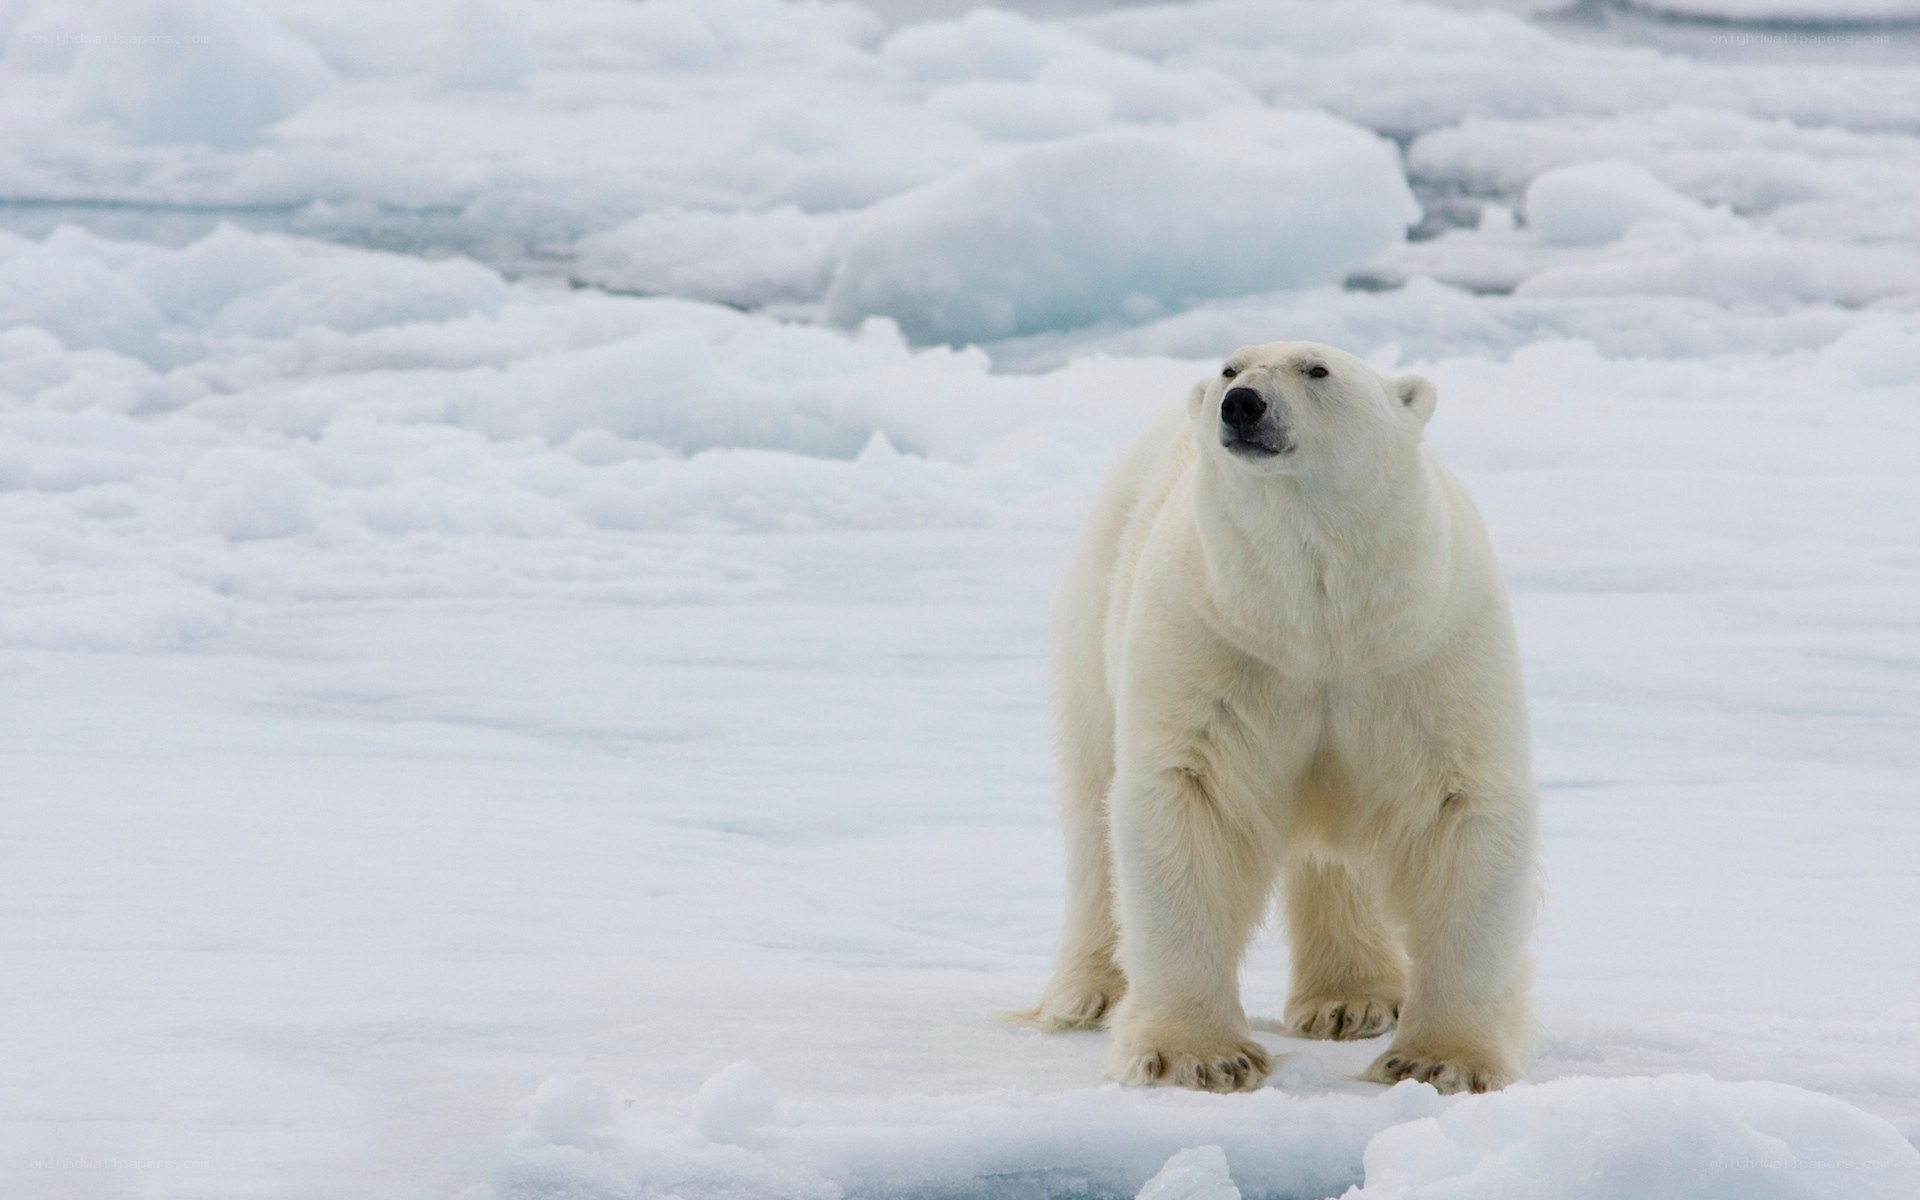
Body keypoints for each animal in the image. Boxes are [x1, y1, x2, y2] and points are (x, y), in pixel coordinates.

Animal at [1020, 341, 1537, 1095]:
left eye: (1317, 369)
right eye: (1231, 369)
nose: (1242, 405)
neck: (1317, 618)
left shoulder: (1424, 651)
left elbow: (1462, 811)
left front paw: (1443, 1061)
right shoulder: (1215, 645)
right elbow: (1189, 803)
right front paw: (1197, 1056)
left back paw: (1355, 999)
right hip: (1096, 607)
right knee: (1092, 810)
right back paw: (1086, 995)